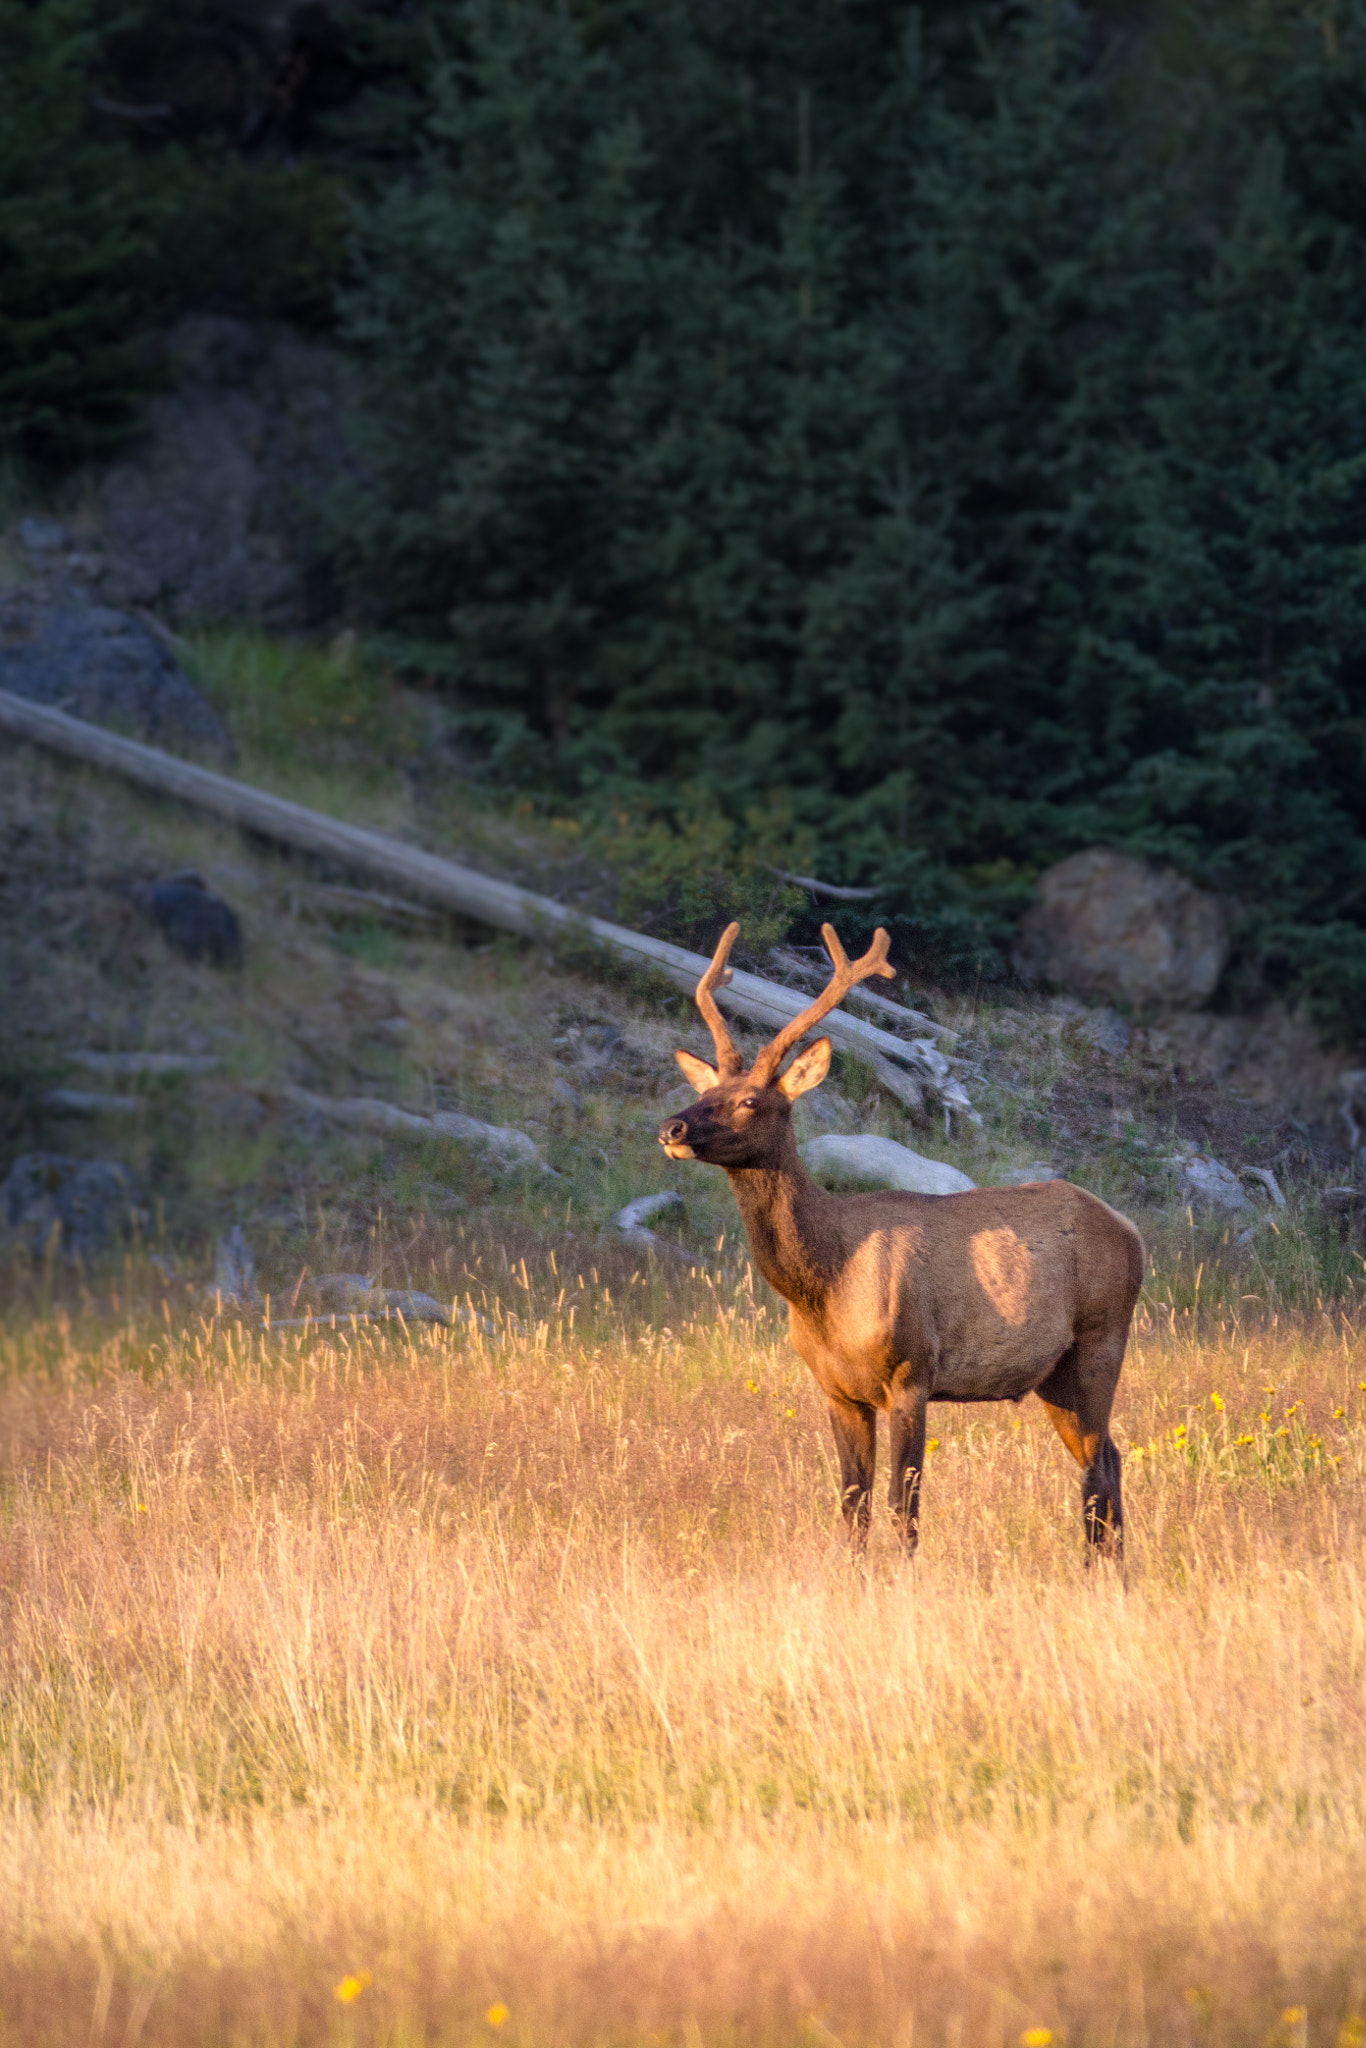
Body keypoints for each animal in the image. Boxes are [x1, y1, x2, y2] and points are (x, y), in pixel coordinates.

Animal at [658, 922, 1143, 1556]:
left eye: (749, 1100)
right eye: (704, 1091)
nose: (672, 1127)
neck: (826, 1285)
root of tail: (1132, 1231)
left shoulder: (912, 1371)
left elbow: (902, 1505)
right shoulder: (839, 1391)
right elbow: (853, 1506)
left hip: (1102, 1338)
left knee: (1099, 1465)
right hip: (1054, 1375)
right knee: (1107, 1458)